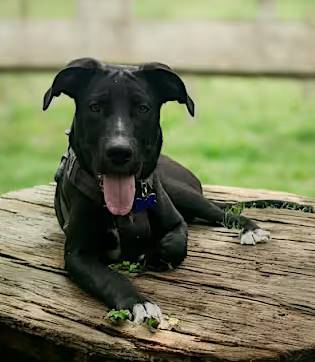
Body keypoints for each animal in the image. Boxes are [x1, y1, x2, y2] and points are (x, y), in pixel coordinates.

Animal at [43, 58, 272, 324]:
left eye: (143, 108)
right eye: (95, 107)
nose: (119, 152)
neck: (131, 206)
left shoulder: (177, 224)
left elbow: (175, 245)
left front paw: (153, 255)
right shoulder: (78, 255)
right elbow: (111, 278)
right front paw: (138, 302)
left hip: (182, 192)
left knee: (223, 213)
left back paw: (251, 229)